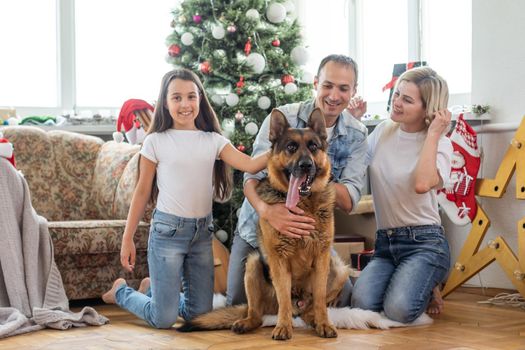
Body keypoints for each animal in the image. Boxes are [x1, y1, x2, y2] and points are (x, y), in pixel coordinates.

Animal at [178, 108, 350, 340]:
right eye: (291, 147)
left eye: (313, 146)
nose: (306, 165)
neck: (303, 204)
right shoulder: (279, 260)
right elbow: (284, 297)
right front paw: (283, 327)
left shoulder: (321, 259)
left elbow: (321, 298)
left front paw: (324, 322)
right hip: (252, 265)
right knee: (259, 313)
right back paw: (249, 322)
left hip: (339, 269)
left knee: (308, 310)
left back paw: (314, 320)